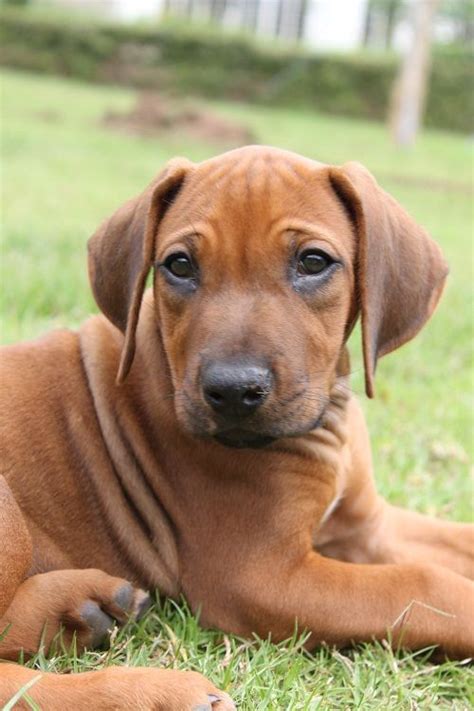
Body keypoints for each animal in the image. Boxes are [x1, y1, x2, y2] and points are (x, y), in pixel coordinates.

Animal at [0, 146, 474, 708]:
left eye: (313, 262)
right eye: (180, 265)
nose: (231, 391)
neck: (326, 415)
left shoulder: (366, 524)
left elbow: (456, 543)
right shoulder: (260, 578)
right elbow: (423, 585)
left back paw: (76, 612)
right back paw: (154, 691)